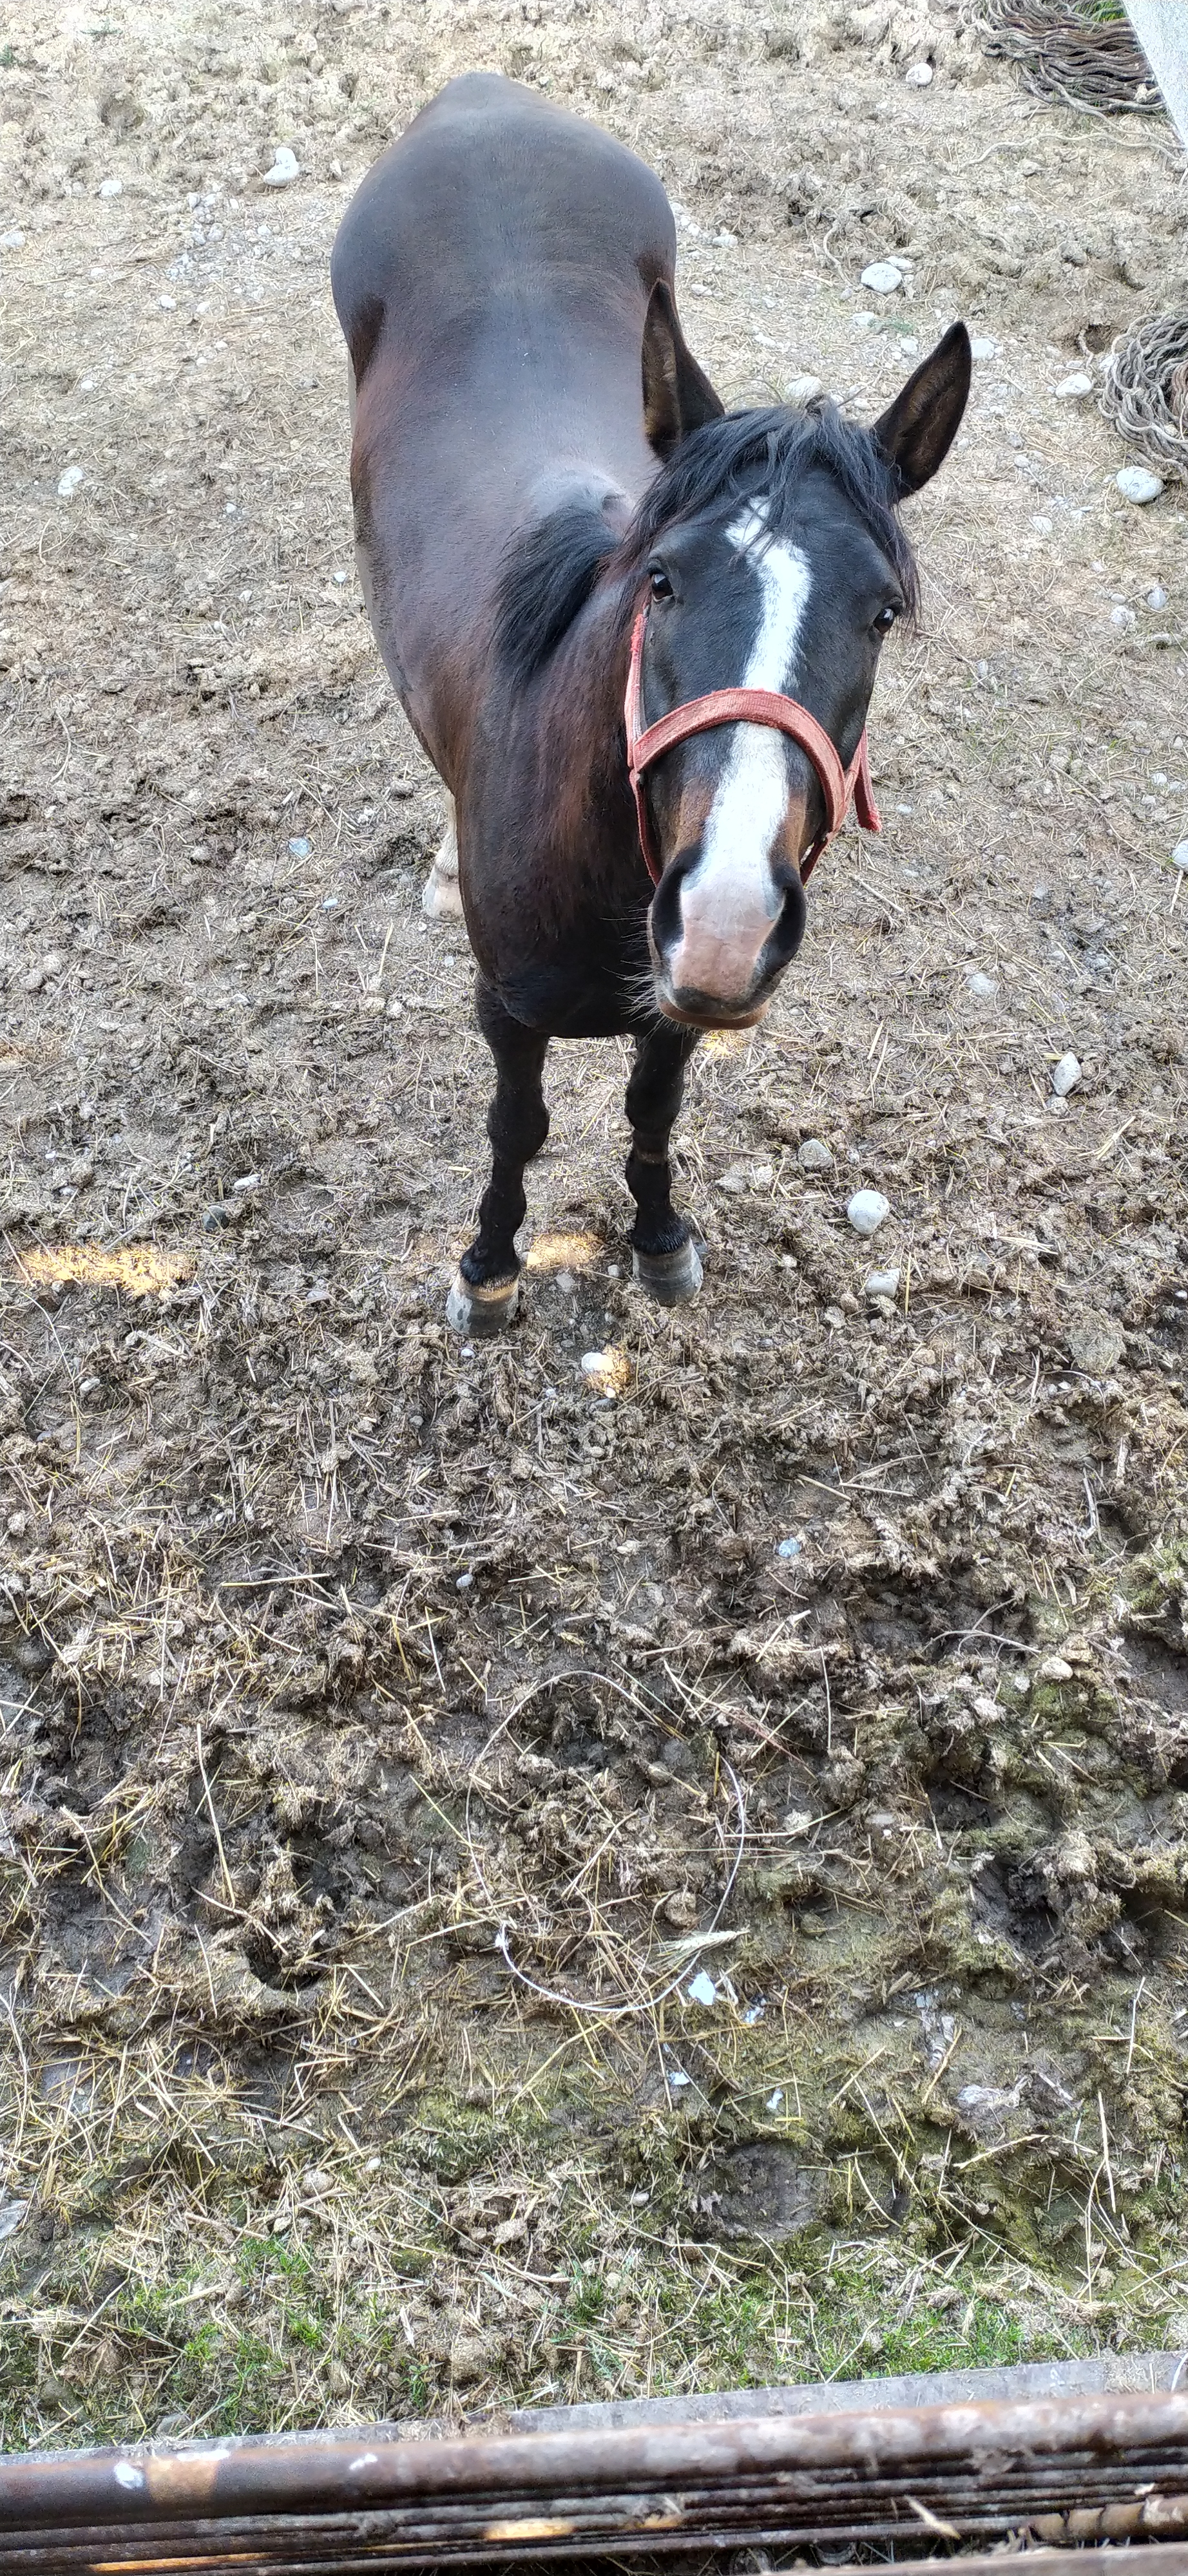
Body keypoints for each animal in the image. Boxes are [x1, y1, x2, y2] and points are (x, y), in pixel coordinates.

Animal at [329, 73, 969, 1340]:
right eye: (661, 581)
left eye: (880, 615)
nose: (725, 917)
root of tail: (478, 96)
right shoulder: (507, 1010)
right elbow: (517, 1127)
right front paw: (489, 1267)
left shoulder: (676, 1009)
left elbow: (650, 1111)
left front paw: (660, 1239)